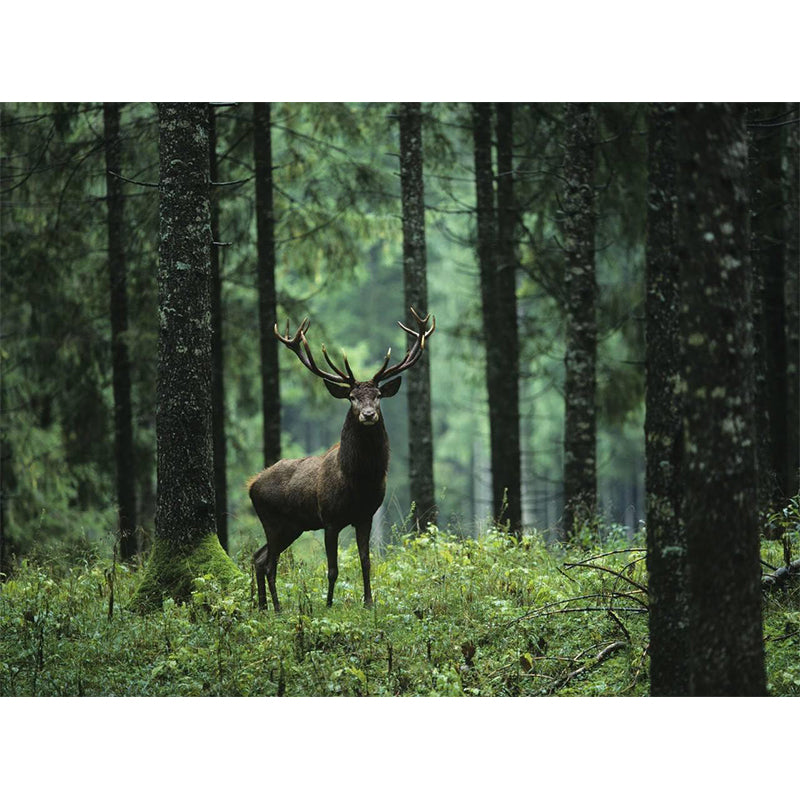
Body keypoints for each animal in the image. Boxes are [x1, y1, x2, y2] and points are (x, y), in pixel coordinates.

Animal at [248, 307, 435, 612]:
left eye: (378, 395)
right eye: (352, 397)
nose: (369, 414)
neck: (358, 480)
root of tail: (251, 484)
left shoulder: (366, 516)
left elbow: (366, 561)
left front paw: (369, 602)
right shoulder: (330, 519)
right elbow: (332, 568)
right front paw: (328, 604)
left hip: (292, 526)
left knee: (258, 557)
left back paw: (264, 607)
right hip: (272, 520)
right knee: (269, 563)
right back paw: (276, 608)